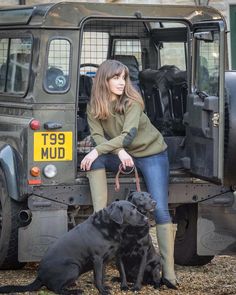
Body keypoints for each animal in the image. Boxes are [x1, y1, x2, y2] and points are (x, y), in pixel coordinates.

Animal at [0, 201, 148, 295]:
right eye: (133, 209)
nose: (147, 218)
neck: (108, 226)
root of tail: (39, 276)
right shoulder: (97, 258)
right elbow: (97, 277)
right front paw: (102, 291)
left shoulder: (104, 260)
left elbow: (102, 276)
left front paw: (104, 286)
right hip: (73, 268)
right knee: (56, 289)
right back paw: (74, 291)